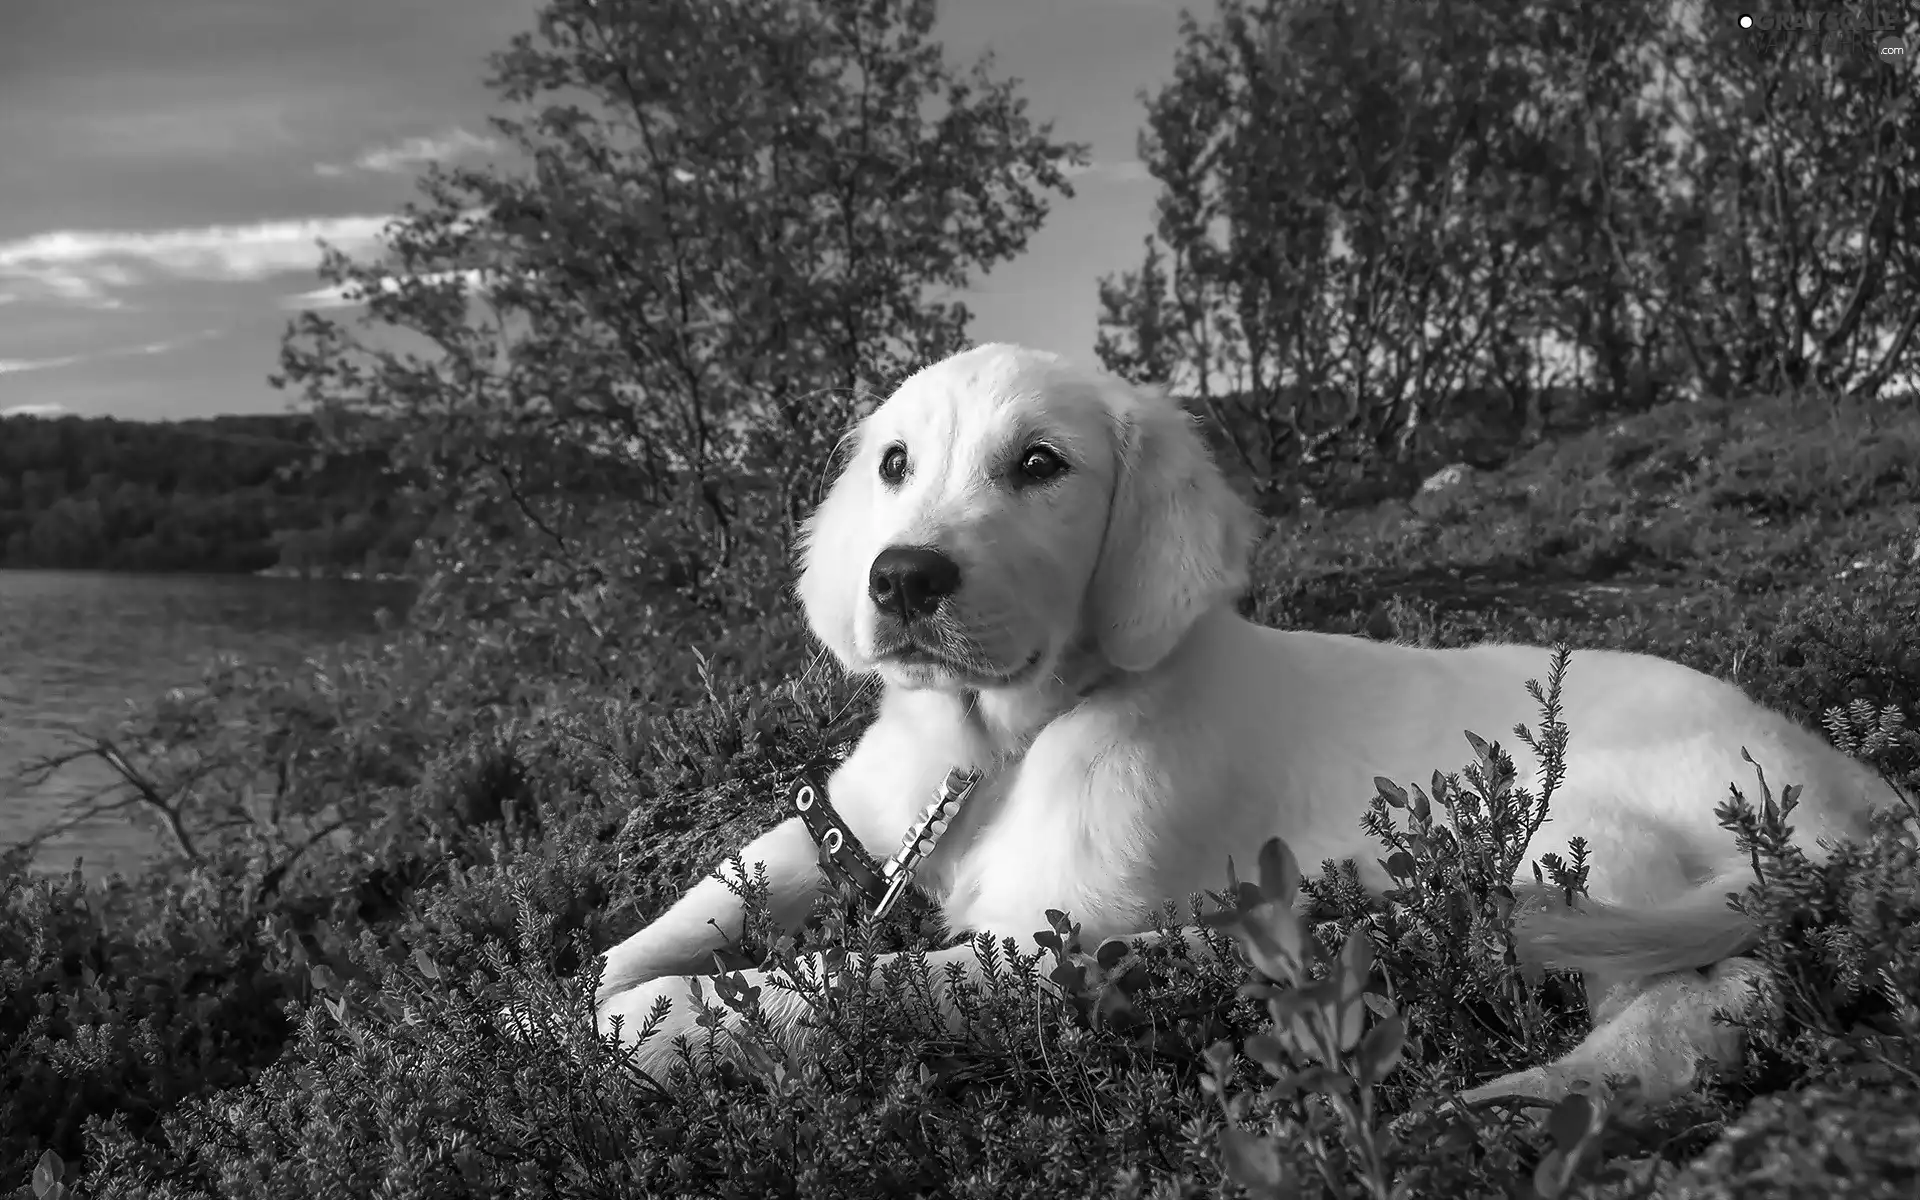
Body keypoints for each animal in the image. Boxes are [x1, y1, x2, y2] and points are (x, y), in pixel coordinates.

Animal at [591, 341, 1896, 1105]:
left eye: (1040, 465)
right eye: (897, 463)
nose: (901, 579)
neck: (1001, 743)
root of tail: (1855, 789)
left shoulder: (1051, 933)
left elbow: (851, 979)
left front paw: (651, 1026)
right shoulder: (850, 822)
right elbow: (708, 897)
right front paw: (580, 997)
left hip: (1573, 839)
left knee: (1715, 991)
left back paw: (1539, 1102)